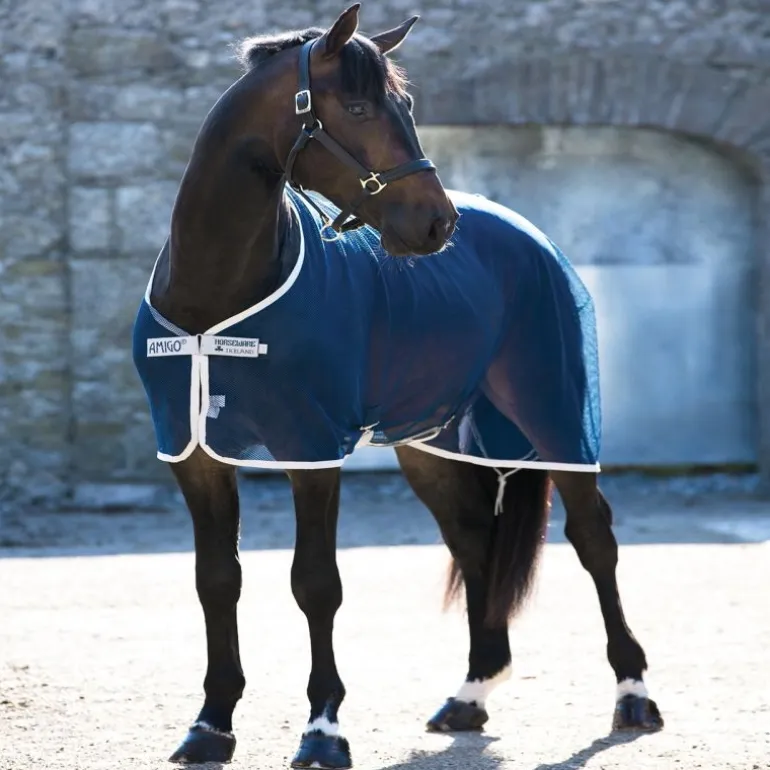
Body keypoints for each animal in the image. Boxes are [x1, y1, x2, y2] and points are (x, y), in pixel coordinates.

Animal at [131, 4, 663, 768]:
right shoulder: (194, 453)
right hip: (431, 443)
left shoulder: (311, 449)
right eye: (356, 107)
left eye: (405, 106)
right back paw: (470, 693)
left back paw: (633, 696)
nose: (438, 222)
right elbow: (217, 581)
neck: (218, 295)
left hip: (558, 415)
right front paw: (210, 726)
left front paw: (323, 731)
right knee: (473, 540)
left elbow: (315, 584)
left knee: (595, 540)